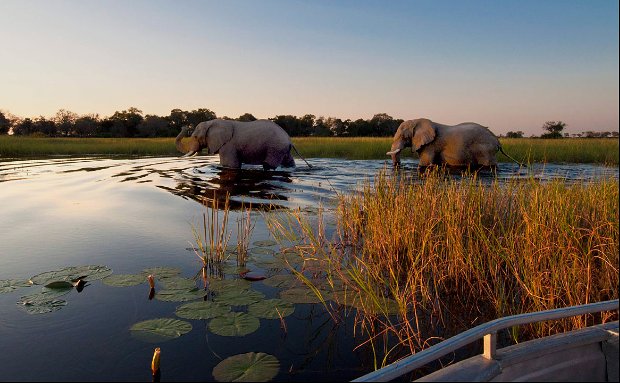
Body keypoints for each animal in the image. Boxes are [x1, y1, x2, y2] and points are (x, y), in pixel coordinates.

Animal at [386, 118, 516, 170]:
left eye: (403, 136)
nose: (397, 166)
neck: (416, 121)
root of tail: (497, 141)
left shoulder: (431, 145)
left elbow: (424, 164)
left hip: (486, 151)